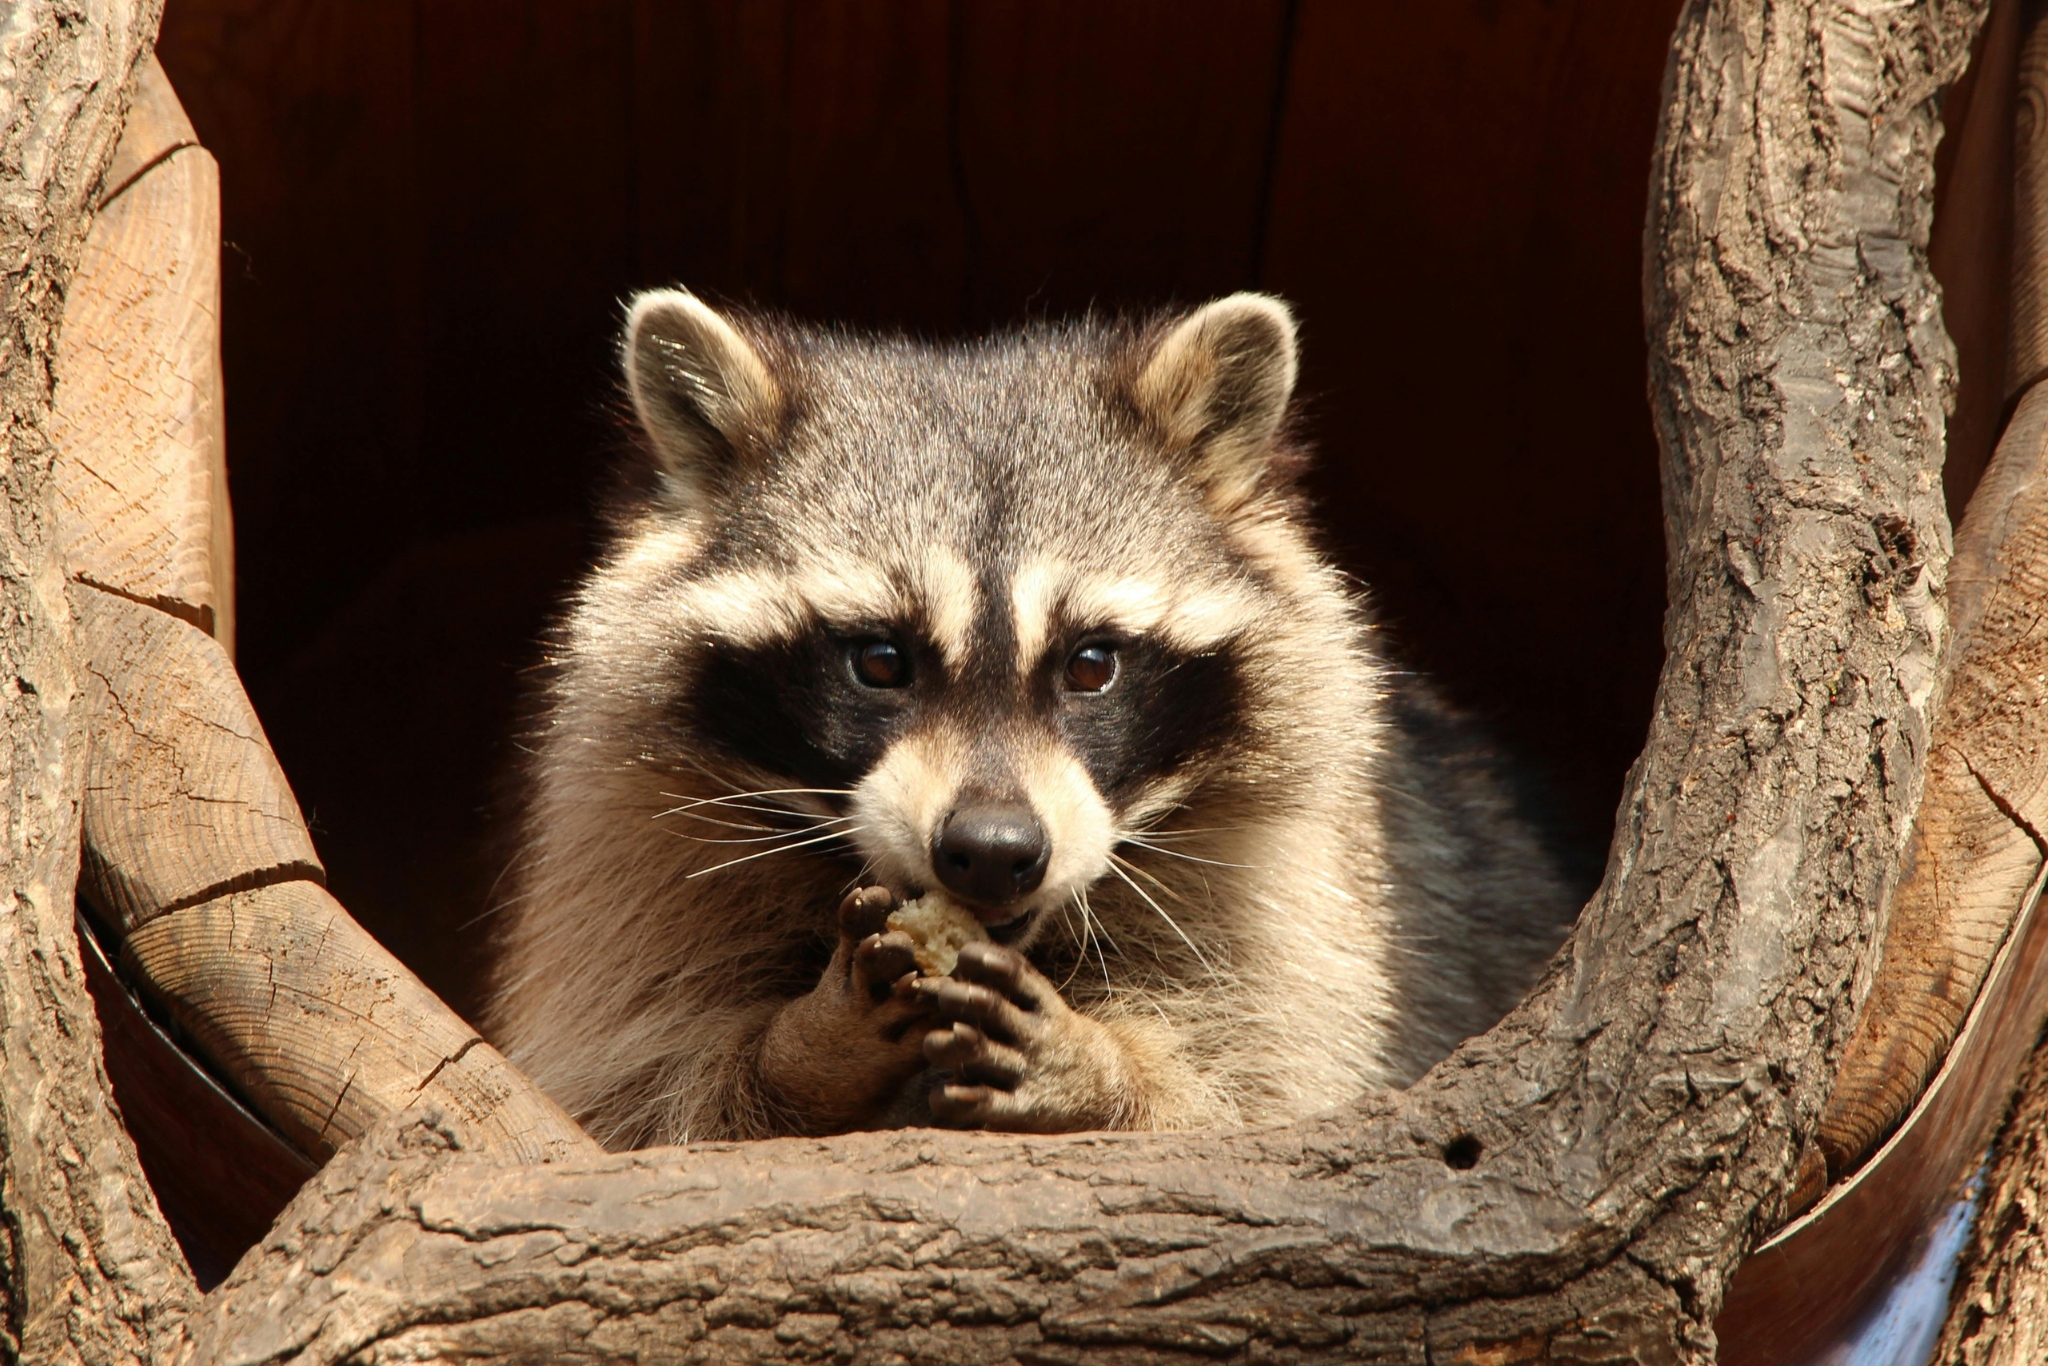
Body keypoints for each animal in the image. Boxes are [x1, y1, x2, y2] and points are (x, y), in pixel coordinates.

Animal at [483, 289, 1577, 1146]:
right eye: (880, 661)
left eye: (1091, 665)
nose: (993, 851)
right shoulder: (632, 848)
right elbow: (633, 1090)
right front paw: (803, 1048)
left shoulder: (1317, 892)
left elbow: (1270, 1090)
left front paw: (1105, 1069)